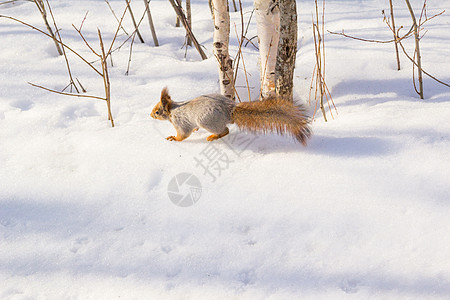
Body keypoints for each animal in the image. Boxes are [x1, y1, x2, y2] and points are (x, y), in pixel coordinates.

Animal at [149, 86, 312, 145]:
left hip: (206, 121)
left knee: (225, 130)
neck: (172, 110)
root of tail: (229, 110)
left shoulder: (180, 123)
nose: (150, 115)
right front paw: (194, 131)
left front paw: (174, 138)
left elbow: (183, 134)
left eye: (157, 111)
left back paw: (212, 137)